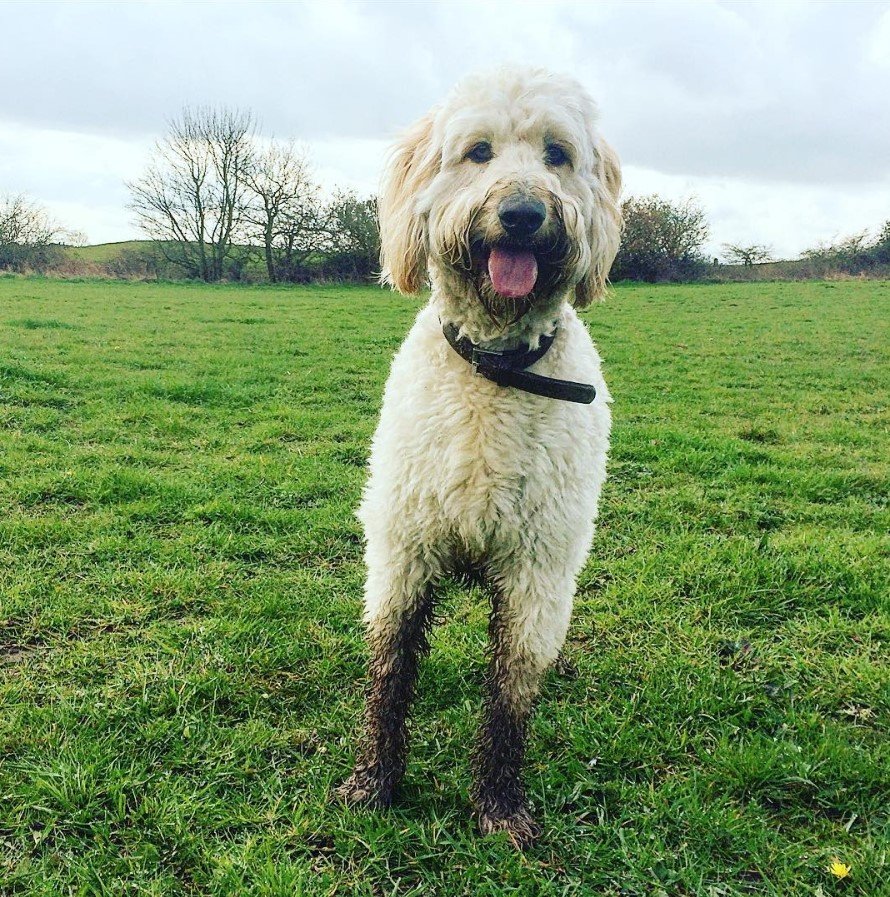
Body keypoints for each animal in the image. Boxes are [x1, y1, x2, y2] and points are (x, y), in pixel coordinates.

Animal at [336, 66, 620, 844]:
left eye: (557, 155)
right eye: (478, 152)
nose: (522, 213)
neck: (493, 369)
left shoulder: (537, 577)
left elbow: (510, 698)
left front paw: (498, 806)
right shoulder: (401, 556)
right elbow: (390, 675)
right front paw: (374, 784)